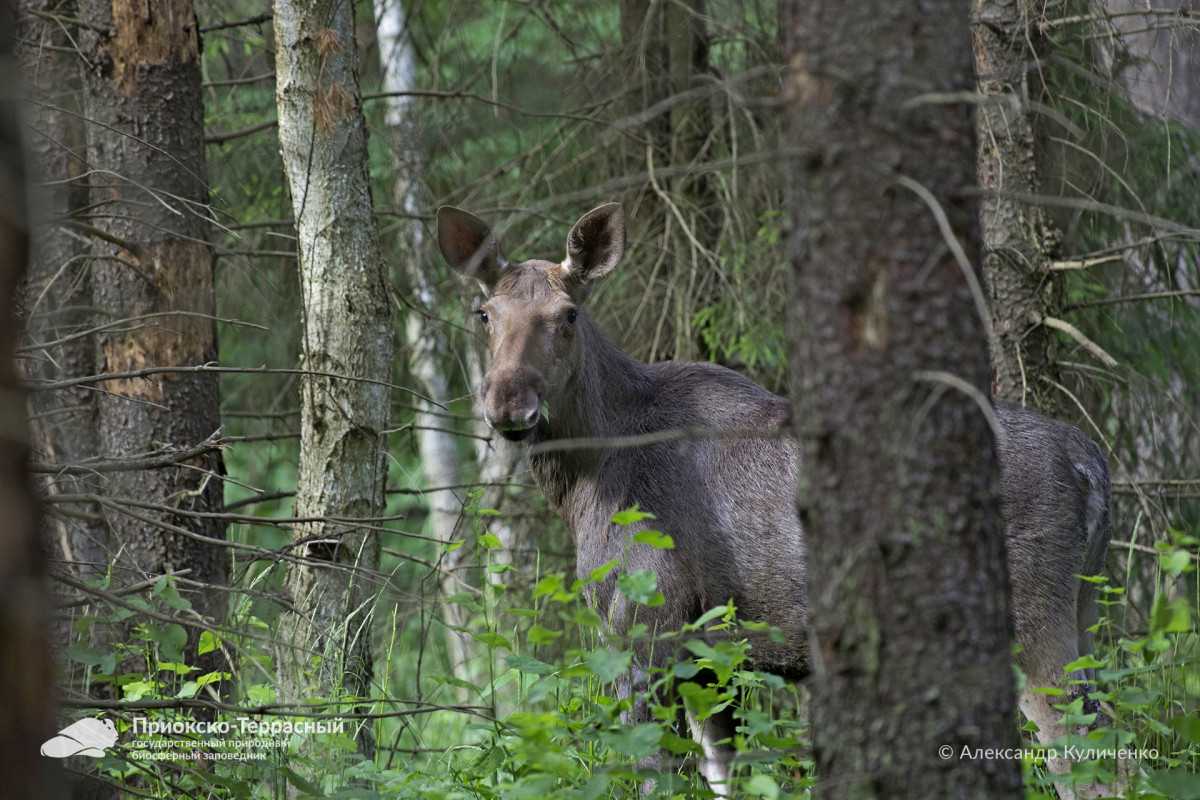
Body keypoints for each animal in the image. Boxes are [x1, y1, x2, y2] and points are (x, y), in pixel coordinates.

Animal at [439, 203, 1113, 796]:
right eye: (484, 312)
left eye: (569, 314)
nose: (508, 403)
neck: (584, 478)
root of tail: (1093, 465)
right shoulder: (709, 653)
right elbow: (726, 776)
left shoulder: (646, 626)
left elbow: (658, 774)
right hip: (1082, 611)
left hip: (1036, 623)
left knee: (1087, 763)